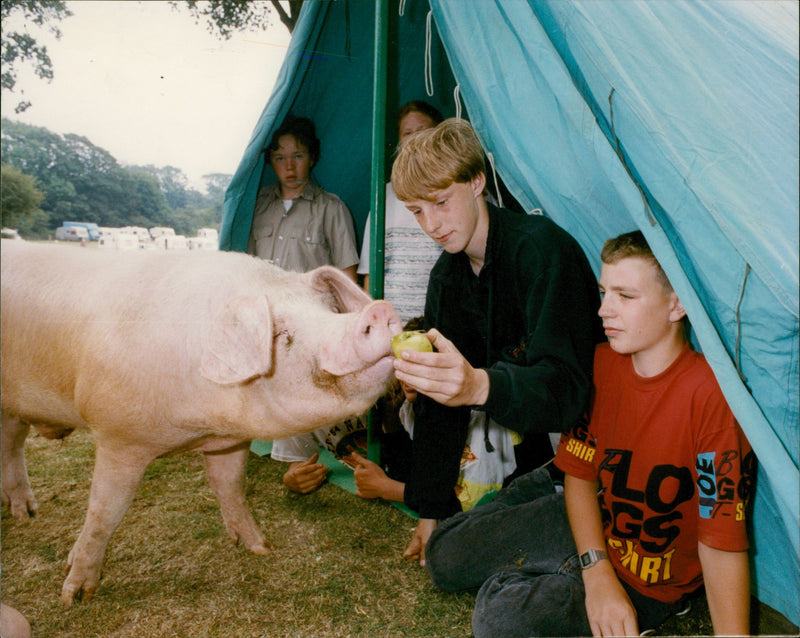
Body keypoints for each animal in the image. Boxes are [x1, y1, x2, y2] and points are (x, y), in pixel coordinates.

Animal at [0, 240, 400, 604]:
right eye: (280, 334)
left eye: (330, 310)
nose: (378, 310)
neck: (198, 426)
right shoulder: (118, 436)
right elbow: (104, 511)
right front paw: (74, 596)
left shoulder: (229, 440)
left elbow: (231, 486)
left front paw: (259, 547)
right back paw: (27, 517)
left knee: (11, 444)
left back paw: (24, 514)